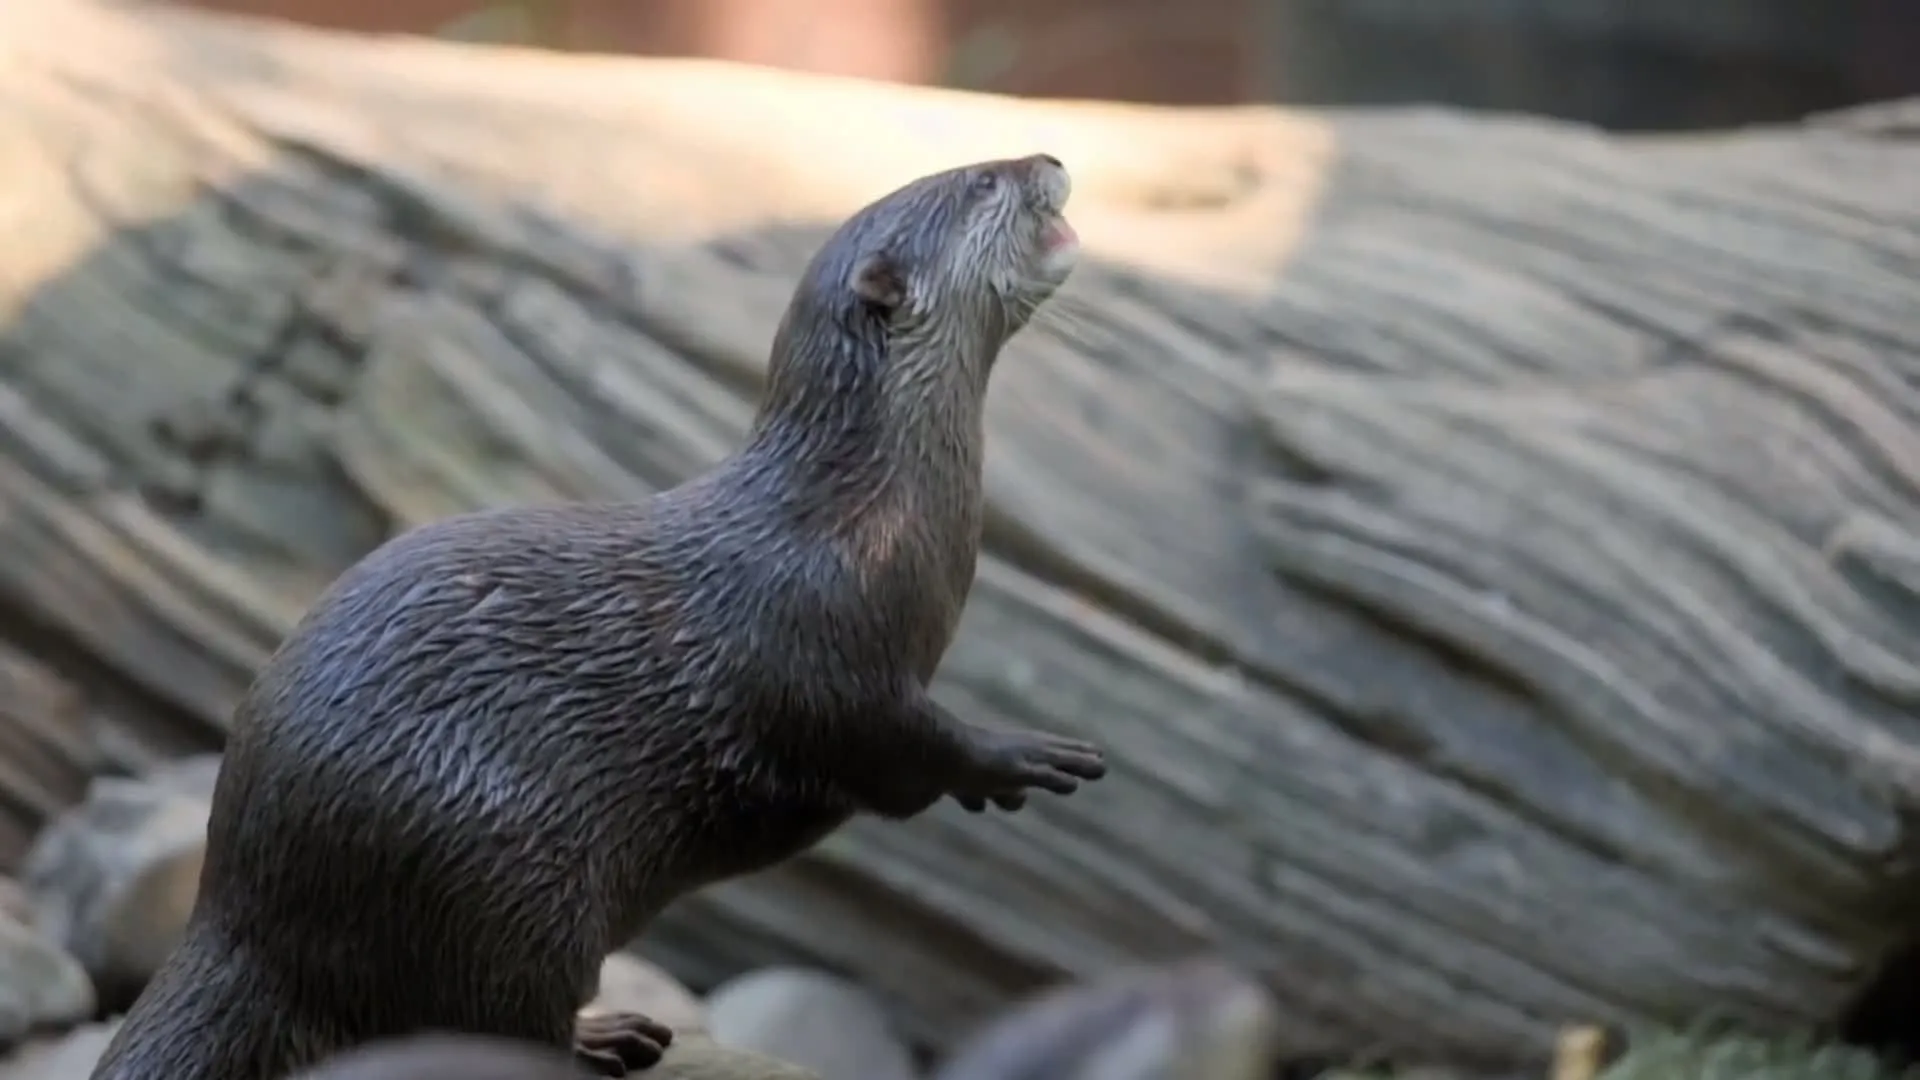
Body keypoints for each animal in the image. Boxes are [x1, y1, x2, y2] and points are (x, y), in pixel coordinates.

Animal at [90, 153, 1105, 1076]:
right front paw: (1018, 755)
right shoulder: (813, 645)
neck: (863, 517)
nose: (1049, 158)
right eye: (980, 183)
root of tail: (238, 907)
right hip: (498, 876)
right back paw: (602, 1037)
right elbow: (887, 740)